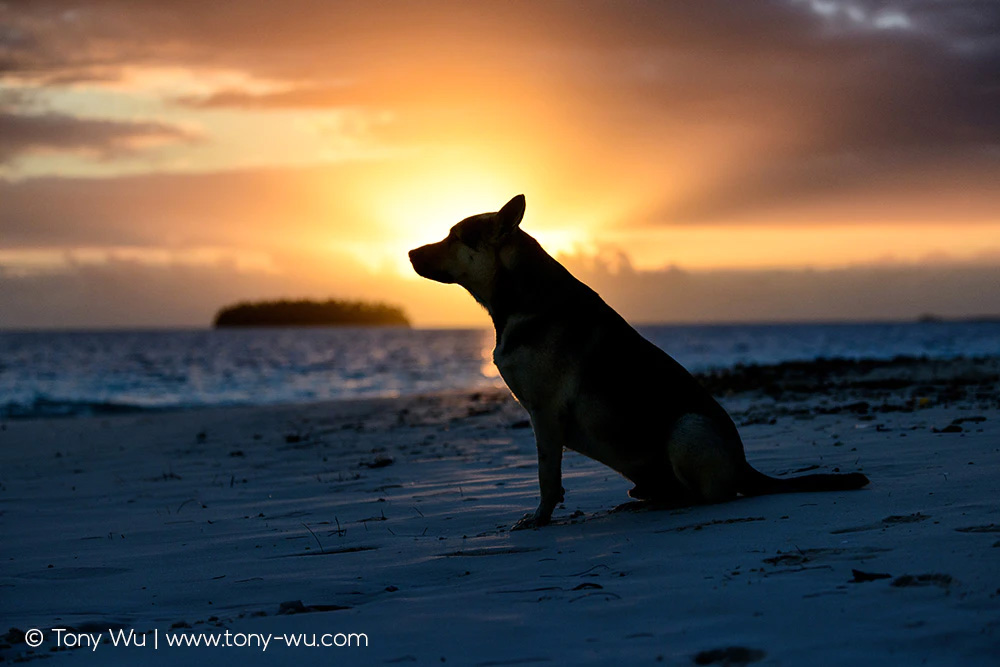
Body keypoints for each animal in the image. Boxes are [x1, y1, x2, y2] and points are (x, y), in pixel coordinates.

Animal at [406, 196, 868, 528]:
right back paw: (643, 501)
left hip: (687, 429)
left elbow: (546, 475)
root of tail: (744, 466)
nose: (409, 253)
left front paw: (539, 518)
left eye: (456, 236)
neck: (520, 292)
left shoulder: (544, 415)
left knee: (707, 495)